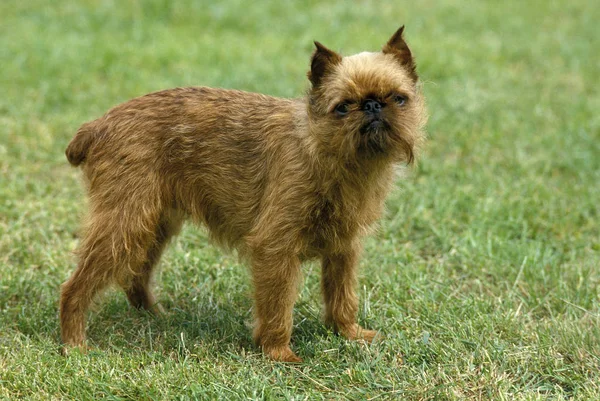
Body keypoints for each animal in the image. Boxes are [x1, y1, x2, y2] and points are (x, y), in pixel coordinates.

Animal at [59, 26, 426, 360]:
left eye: (398, 98)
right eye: (343, 107)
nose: (373, 106)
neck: (324, 150)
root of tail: (97, 126)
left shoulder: (343, 249)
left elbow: (342, 294)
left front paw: (348, 334)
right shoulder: (275, 249)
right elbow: (277, 305)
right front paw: (279, 353)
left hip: (153, 223)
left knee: (136, 273)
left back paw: (152, 315)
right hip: (125, 223)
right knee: (75, 285)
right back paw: (75, 343)